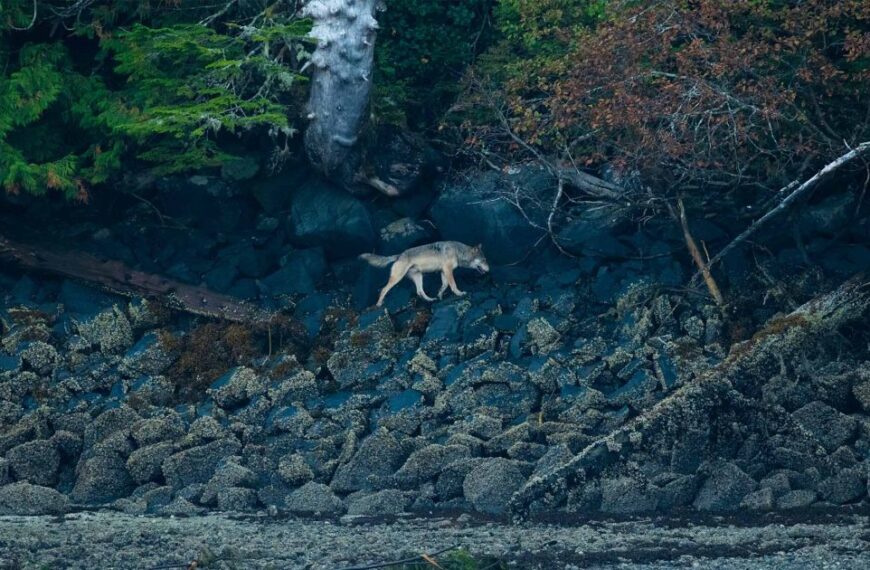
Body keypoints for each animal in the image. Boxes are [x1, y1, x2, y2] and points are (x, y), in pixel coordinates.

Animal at [359, 241, 490, 307]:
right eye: (483, 260)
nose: (489, 269)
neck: (458, 251)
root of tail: (399, 255)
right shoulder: (448, 270)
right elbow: (453, 285)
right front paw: (459, 293)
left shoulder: (443, 271)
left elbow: (444, 286)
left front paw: (440, 296)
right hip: (397, 278)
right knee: (383, 289)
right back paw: (379, 304)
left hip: (419, 277)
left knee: (420, 291)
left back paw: (430, 300)